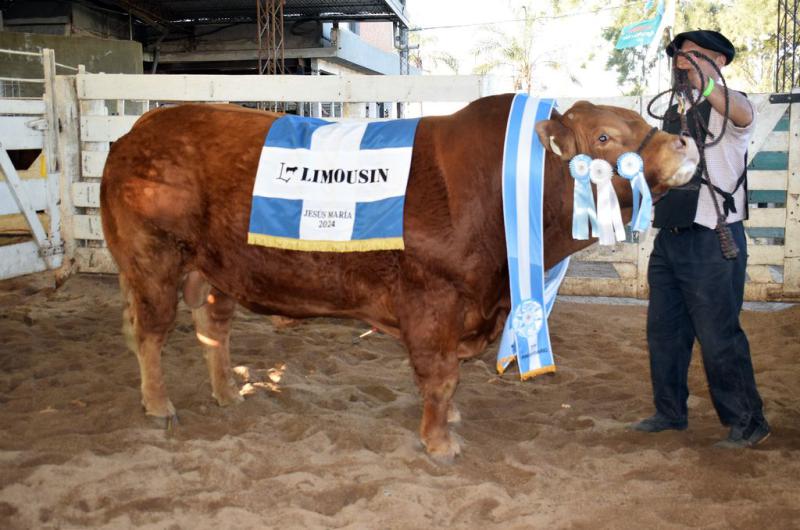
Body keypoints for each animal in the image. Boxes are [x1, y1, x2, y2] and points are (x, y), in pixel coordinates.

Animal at [100, 95, 696, 458]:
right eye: (604, 137)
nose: (685, 142)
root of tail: (137, 131)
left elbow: (450, 378)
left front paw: (450, 421)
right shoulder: (433, 301)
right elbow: (440, 375)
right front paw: (439, 442)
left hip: (213, 269)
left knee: (212, 330)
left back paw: (228, 394)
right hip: (153, 259)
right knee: (150, 331)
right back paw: (159, 405)